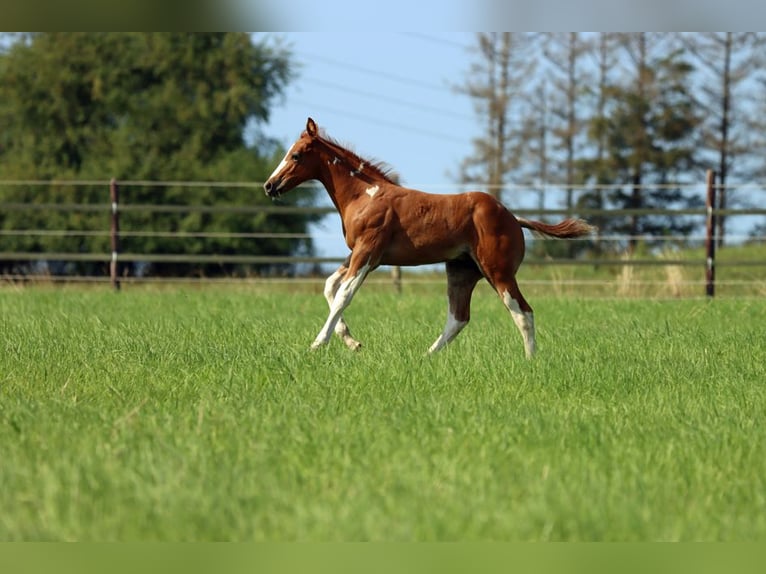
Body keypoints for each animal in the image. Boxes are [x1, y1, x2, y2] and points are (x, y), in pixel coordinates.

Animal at [264, 118, 592, 360]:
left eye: (296, 155)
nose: (270, 185)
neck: (365, 195)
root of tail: (513, 218)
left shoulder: (368, 251)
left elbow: (344, 293)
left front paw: (318, 343)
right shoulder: (360, 255)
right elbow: (330, 286)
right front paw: (352, 341)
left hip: (498, 271)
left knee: (522, 311)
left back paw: (530, 360)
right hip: (462, 270)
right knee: (459, 317)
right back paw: (427, 355)